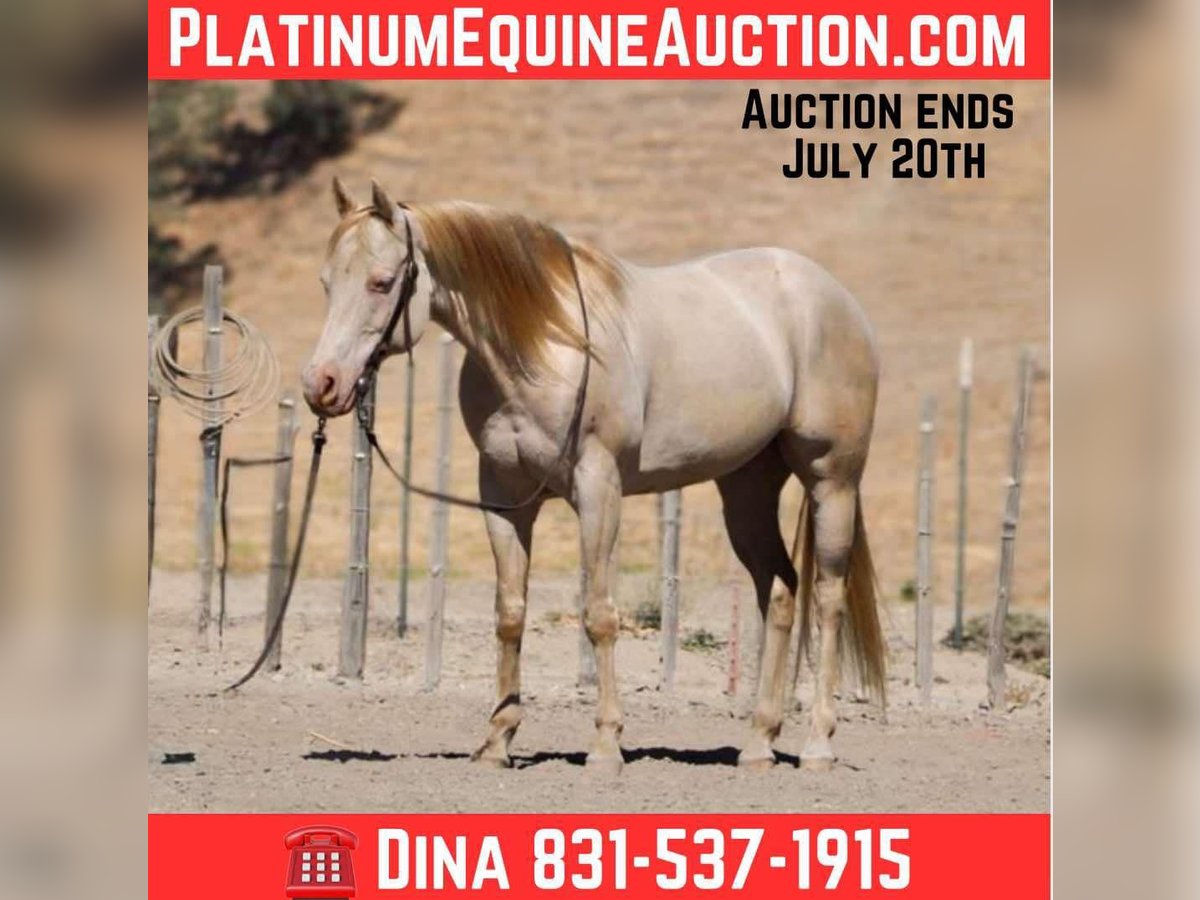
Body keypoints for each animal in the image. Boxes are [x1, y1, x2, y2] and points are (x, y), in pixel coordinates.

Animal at [301, 177, 886, 773]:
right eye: (326, 283)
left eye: (381, 282)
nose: (321, 384)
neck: (546, 345)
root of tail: (835, 298)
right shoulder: (503, 495)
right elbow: (510, 613)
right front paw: (497, 741)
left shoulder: (598, 488)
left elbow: (600, 614)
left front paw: (606, 745)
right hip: (746, 490)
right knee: (781, 592)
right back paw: (759, 742)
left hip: (832, 480)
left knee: (827, 597)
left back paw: (818, 744)